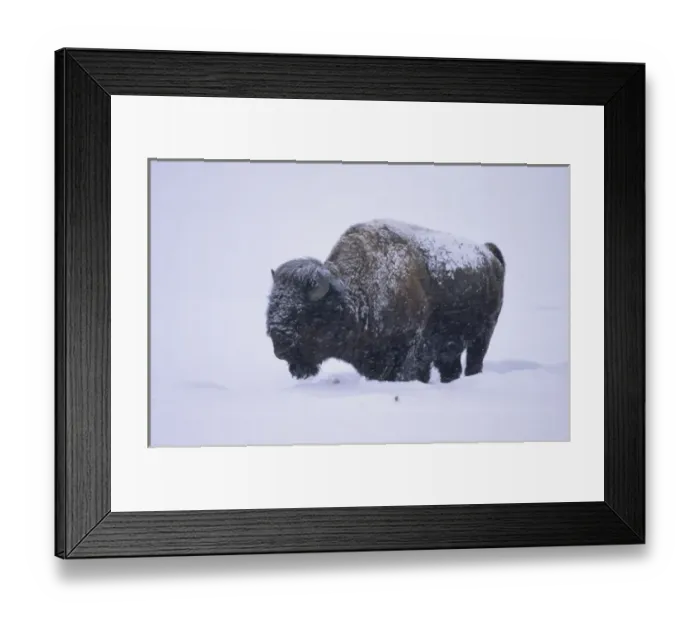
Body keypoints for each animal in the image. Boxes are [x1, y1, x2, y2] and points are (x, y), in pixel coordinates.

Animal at [266, 219, 505, 383]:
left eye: (302, 314)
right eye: (271, 307)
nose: (280, 348)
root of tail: (489, 253)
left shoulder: (411, 349)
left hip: (484, 334)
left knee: (474, 361)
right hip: (451, 347)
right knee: (451, 368)